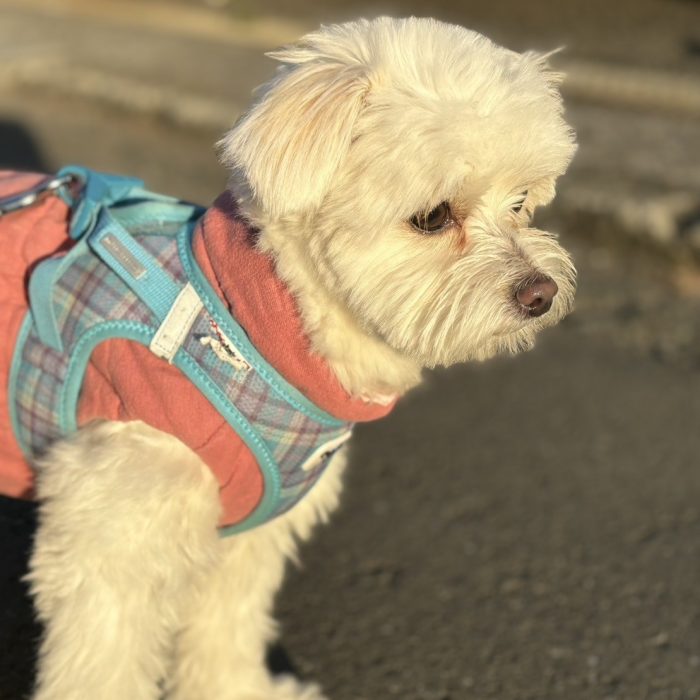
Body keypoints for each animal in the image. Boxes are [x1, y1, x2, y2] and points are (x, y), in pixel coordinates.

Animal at [2, 16, 576, 700]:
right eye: (434, 217)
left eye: (520, 202)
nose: (541, 294)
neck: (252, 332)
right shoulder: (113, 548)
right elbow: (102, 661)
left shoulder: (247, 538)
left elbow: (225, 629)